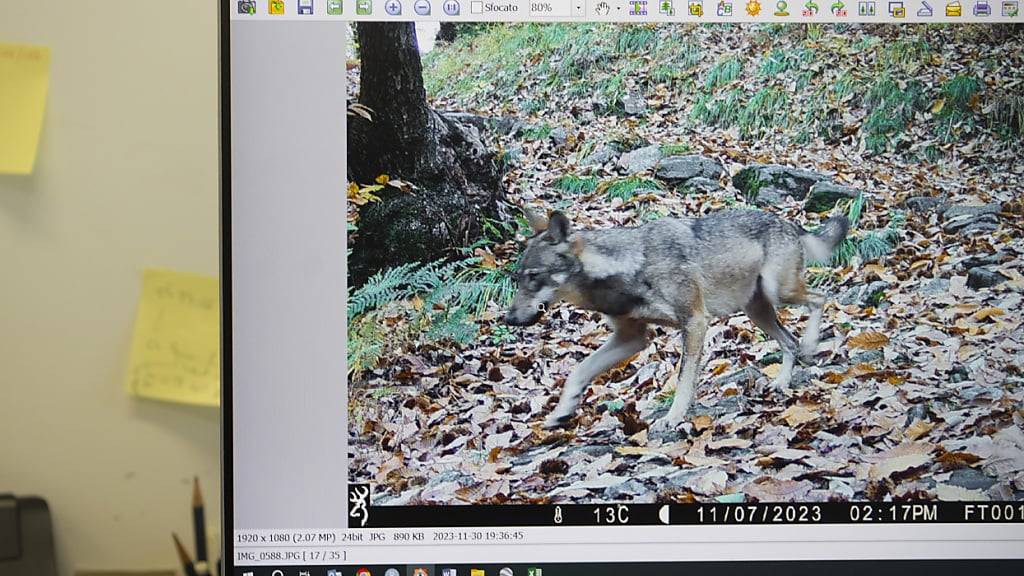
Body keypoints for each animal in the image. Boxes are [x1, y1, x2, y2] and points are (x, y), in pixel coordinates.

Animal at [503, 204, 847, 426]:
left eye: (534, 277)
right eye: (517, 278)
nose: (509, 319)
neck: (628, 268)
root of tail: (788, 222)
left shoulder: (694, 322)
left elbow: (683, 378)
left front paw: (673, 417)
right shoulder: (631, 339)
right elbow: (578, 371)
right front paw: (561, 412)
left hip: (779, 293)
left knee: (821, 300)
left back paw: (810, 346)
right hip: (757, 311)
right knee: (789, 341)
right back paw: (782, 382)